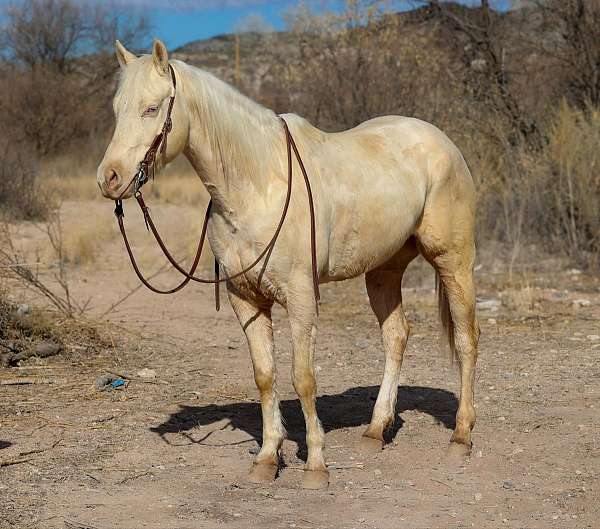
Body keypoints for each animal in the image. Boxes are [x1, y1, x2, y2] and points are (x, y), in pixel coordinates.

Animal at [98, 39, 480, 488]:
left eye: (152, 108)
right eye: (117, 108)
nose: (109, 178)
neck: (258, 185)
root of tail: (443, 142)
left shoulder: (300, 298)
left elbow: (303, 378)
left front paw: (315, 465)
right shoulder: (245, 299)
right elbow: (266, 377)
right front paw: (267, 458)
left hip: (453, 261)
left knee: (466, 340)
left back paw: (460, 437)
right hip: (383, 271)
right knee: (396, 337)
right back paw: (375, 431)